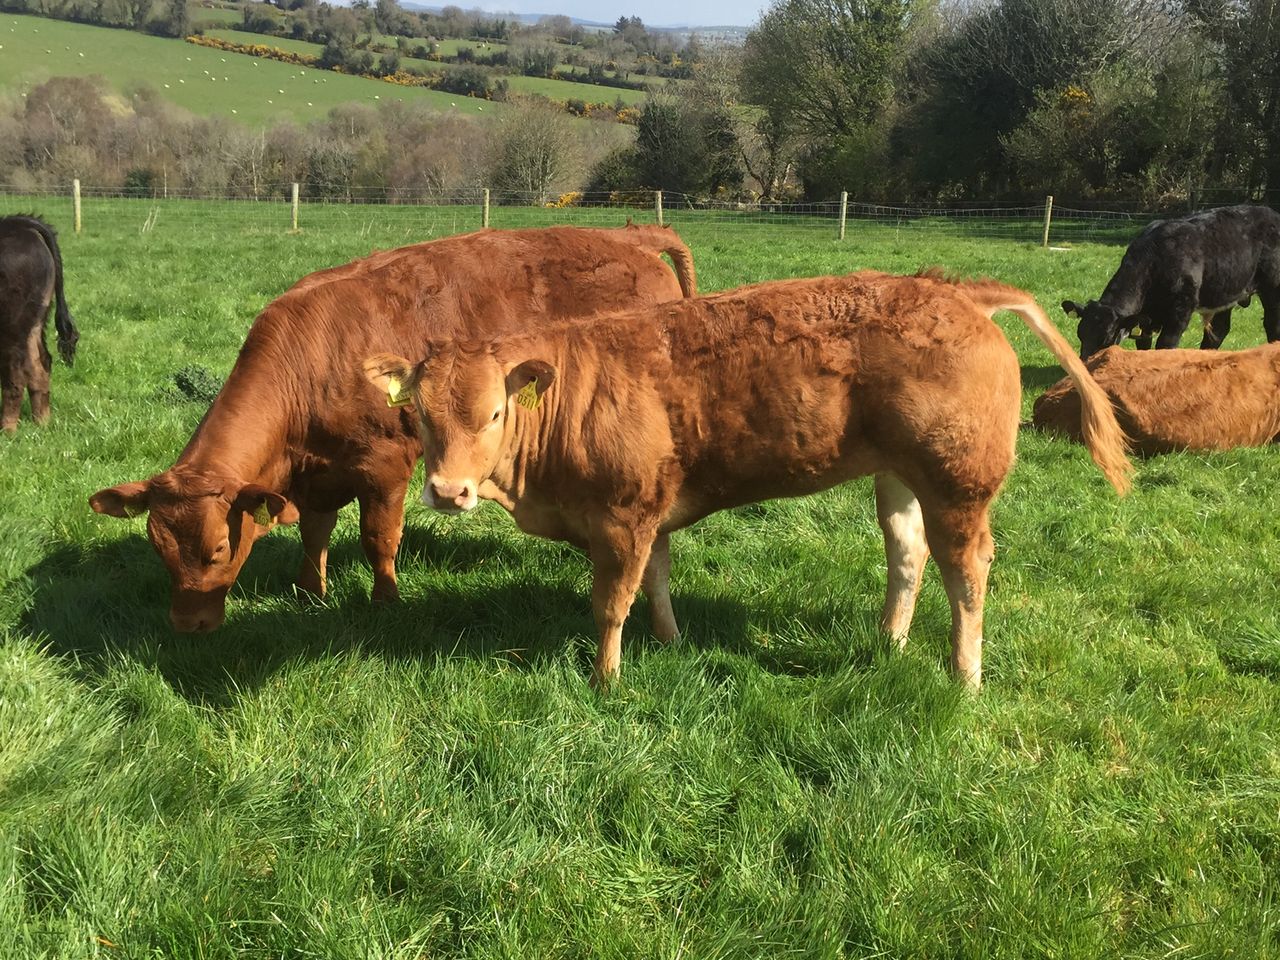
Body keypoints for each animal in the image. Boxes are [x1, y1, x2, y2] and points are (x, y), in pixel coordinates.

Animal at [0, 214, 80, 433]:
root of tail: (19, 224)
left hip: (12, 327)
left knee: (15, 375)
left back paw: (7, 431)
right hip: (34, 323)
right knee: (40, 365)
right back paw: (42, 423)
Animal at [89, 224, 696, 632]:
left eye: (217, 550)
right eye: (159, 548)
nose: (185, 625)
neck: (311, 364)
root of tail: (629, 236)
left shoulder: (384, 467)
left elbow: (378, 538)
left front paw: (384, 601)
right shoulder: (316, 474)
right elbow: (314, 534)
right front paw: (311, 593)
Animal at [364, 270, 1132, 691]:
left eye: (494, 412)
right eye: (420, 415)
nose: (448, 492)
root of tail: (955, 291)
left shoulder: (622, 517)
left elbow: (610, 605)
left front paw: (605, 679)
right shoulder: (651, 511)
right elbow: (657, 582)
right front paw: (670, 642)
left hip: (958, 485)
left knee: (967, 572)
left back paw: (964, 675)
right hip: (898, 477)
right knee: (907, 555)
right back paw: (889, 641)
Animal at [1063, 204, 1280, 358]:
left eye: (1106, 339)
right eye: (1080, 333)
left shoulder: (1181, 309)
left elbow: (1165, 344)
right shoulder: (1146, 318)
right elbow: (1143, 344)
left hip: (1273, 287)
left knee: (1272, 325)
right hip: (1226, 291)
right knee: (1218, 331)